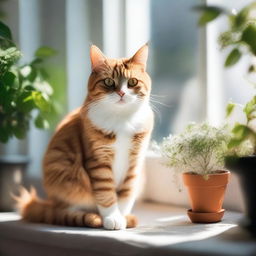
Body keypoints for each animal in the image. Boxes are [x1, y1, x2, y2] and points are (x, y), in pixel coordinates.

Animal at [15, 44, 154, 230]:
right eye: (108, 82)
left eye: (132, 82)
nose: (121, 93)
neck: (122, 119)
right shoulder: (98, 161)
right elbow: (106, 193)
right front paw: (113, 218)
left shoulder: (135, 163)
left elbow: (126, 194)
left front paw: (123, 217)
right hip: (65, 176)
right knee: (67, 211)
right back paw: (92, 218)